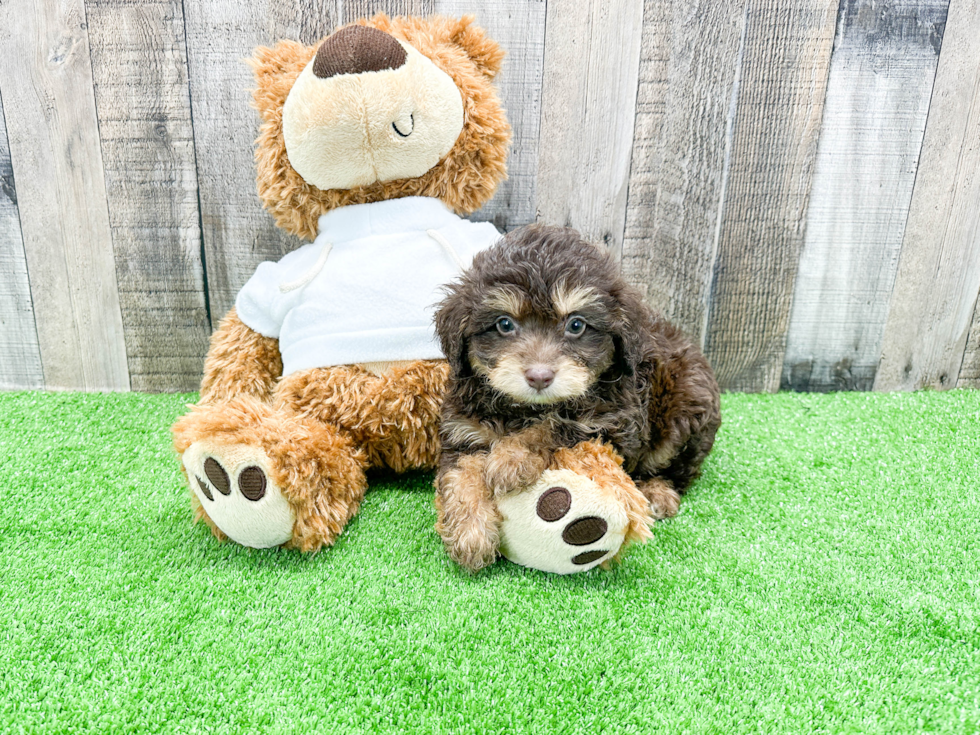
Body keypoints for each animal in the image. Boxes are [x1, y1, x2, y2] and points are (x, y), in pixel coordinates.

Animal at [434, 223, 720, 568]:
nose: (539, 376)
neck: (526, 409)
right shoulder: (463, 430)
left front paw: (511, 458)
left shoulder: (613, 422)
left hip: (686, 407)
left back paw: (658, 491)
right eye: (504, 324)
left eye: (576, 325)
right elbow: (461, 475)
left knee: (678, 467)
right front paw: (470, 533)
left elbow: (555, 427)